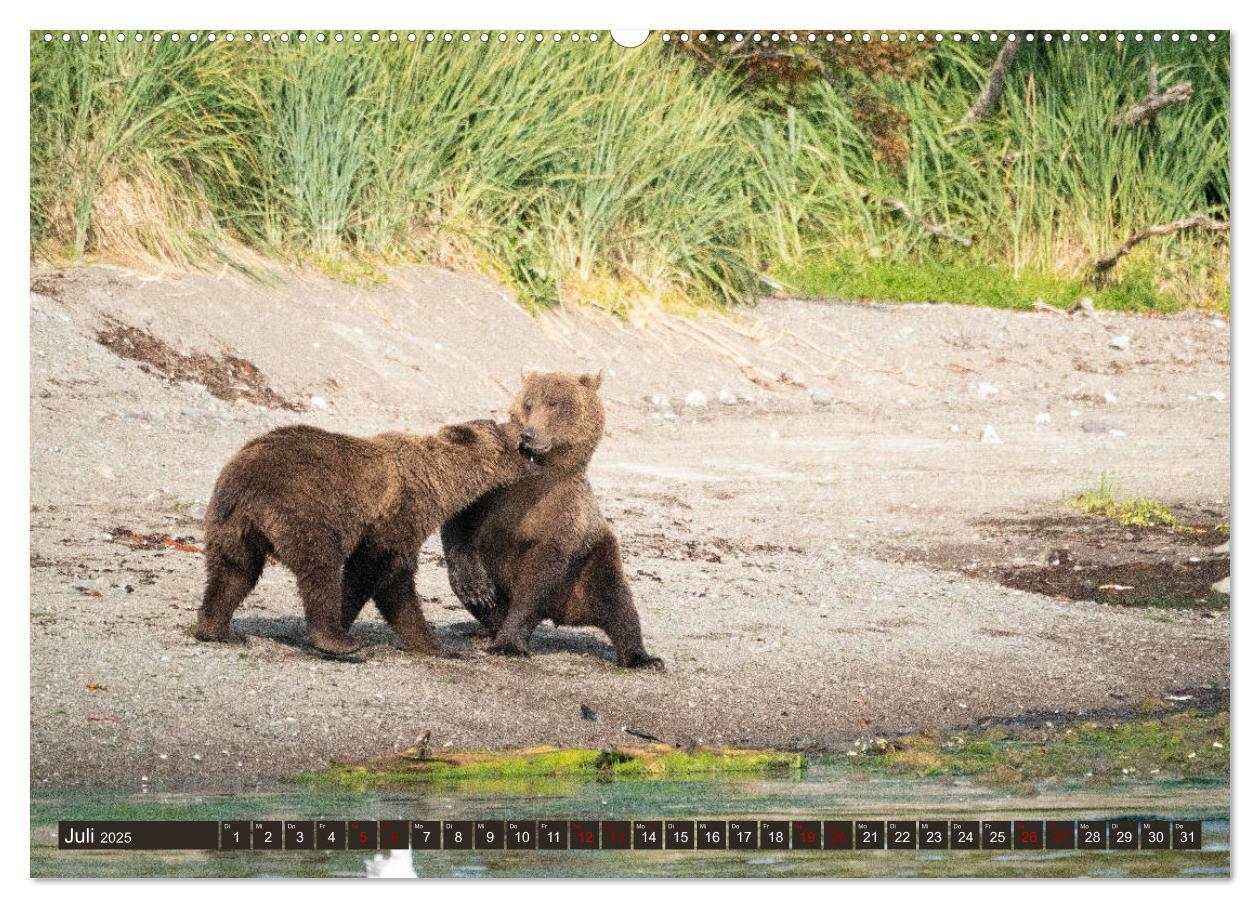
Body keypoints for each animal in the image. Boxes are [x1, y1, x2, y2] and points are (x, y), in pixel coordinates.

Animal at [194, 420, 534, 654]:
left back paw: (217, 629)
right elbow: (379, 574)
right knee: (319, 569)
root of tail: (246, 481)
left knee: (233, 572)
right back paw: (336, 640)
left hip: (231, 523)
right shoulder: (399, 515)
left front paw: (431, 644)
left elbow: (390, 584)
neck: (441, 483)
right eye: (497, 424)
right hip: (304, 508)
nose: (525, 430)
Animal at [441, 367, 665, 664]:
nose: (529, 434)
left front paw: (509, 644)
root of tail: (564, 612)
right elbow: (461, 517)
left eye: (554, 405)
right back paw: (489, 626)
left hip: (593, 559)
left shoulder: (564, 514)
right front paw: (476, 589)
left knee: (616, 599)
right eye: (528, 404)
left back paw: (642, 657)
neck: (539, 473)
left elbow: (539, 576)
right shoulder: (498, 489)